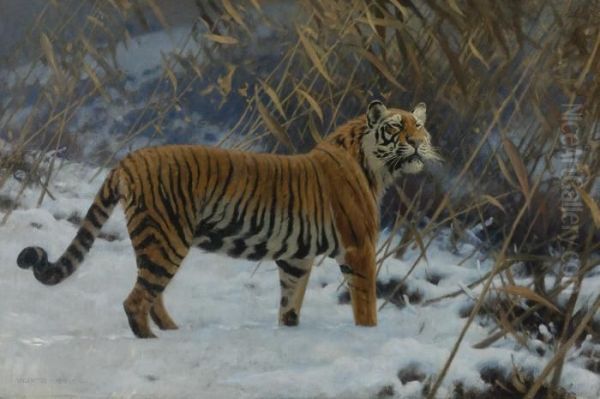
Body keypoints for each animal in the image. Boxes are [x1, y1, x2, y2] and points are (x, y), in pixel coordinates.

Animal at [16, 101, 438, 340]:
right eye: (397, 127)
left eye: (420, 126)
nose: (419, 144)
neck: (375, 167)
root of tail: (129, 158)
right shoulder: (358, 247)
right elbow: (365, 305)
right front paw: (368, 337)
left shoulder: (295, 259)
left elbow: (290, 303)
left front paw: (289, 331)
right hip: (167, 238)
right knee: (136, 300)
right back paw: (152, 340)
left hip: (155, 240)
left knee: (151, 294)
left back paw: (172, 332)